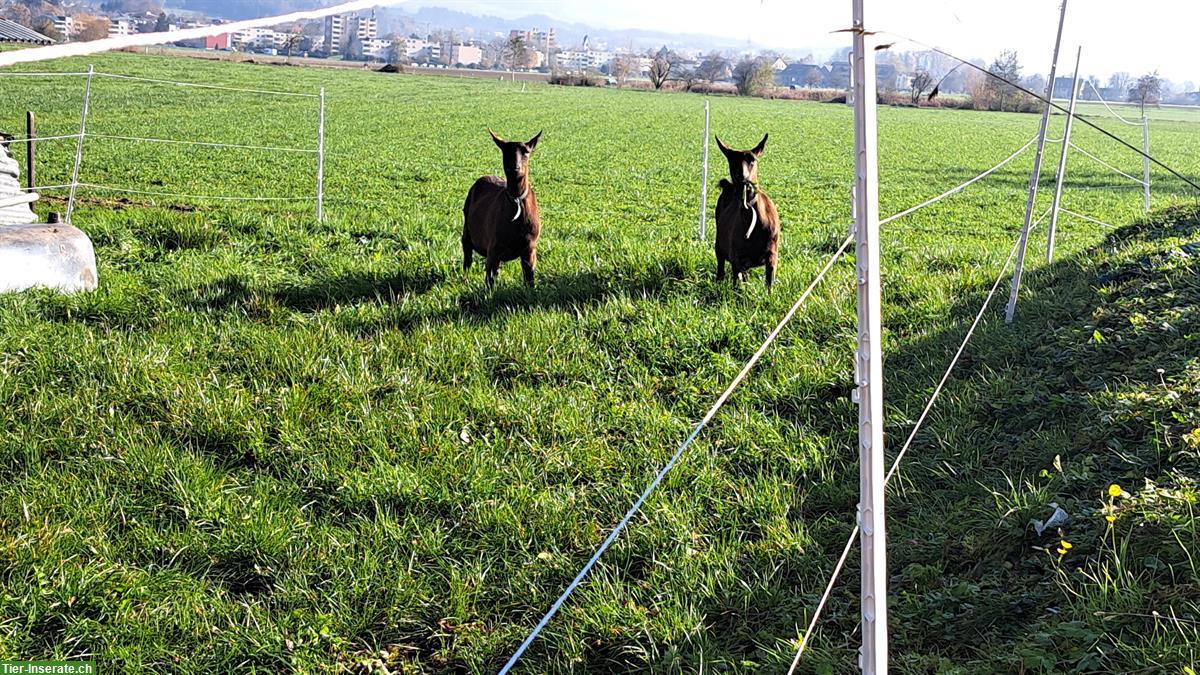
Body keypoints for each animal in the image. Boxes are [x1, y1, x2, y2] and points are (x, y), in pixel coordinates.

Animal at [460, 130, 542, 288]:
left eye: (526, 152)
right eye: (505, 150)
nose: (514, 168)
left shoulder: (530, 249)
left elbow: (530, 278)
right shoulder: (493, 250)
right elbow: (490, 280)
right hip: (467, 229)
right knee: (467, 258)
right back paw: (465, 280)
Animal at [710, 132, 777, 288]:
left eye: (753, 160)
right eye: (731, 160)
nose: (743, 181)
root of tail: (727, 186)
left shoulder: (772, 255)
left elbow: (769, 284)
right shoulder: (737, 258)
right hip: (719, 246)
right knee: (721, 270)